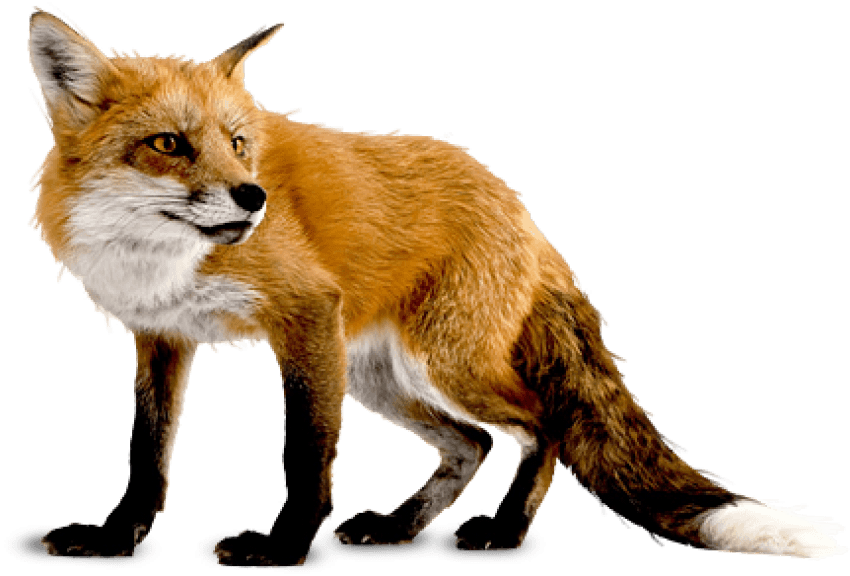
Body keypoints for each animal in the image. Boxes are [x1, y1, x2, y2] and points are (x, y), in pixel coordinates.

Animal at [25, 5, 847, 568]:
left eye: (237, 143)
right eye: (167, 143)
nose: (254, 198)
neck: (159, 257)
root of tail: (520, 208)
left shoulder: (305, 315)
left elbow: (305, 454)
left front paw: (285, 548)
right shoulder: (163, 335)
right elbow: (147, 453)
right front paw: (115, 537)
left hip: (442, 362)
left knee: (544, 424)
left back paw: (506, 531)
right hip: (377, 377)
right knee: (472, 442)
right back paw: (401, 525)